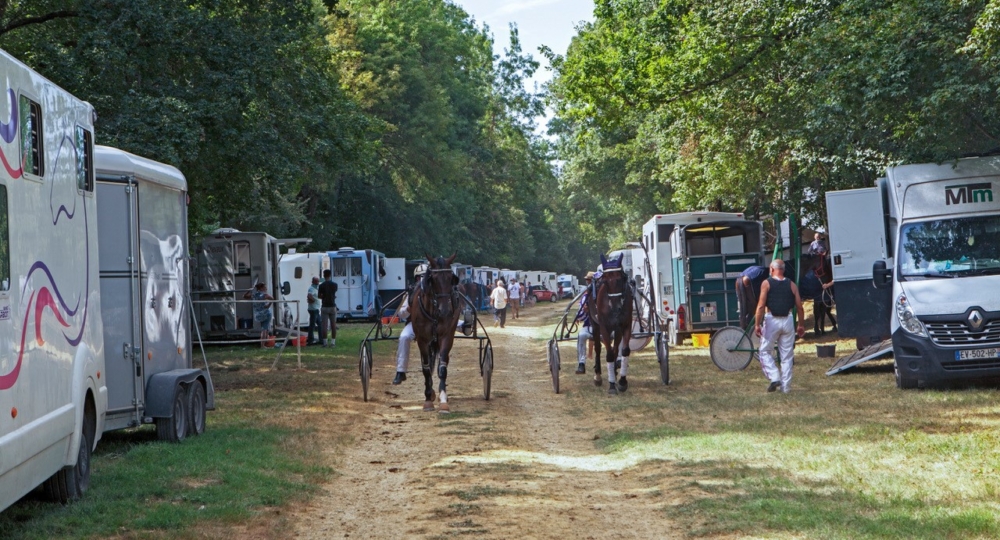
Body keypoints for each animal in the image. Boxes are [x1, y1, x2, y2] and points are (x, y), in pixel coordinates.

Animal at [408, 253, 462, 414]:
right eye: (434, 279)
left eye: (451, 278)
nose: (445, 311)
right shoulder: (423, 340)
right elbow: (426, 368)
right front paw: (427, 398)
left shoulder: (446, 337)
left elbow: (442, 368)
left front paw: (443, 400)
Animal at [584, 253, 632, 396]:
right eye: (605, 281)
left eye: (621, 279)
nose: (616, 307)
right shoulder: (604, 327)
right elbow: (609, 354)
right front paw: (611, 385)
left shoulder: (625, 325)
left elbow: (624, 350)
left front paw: (622, 381)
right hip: (595, 325)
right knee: (599, 348)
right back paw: (598, 375)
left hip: (617, 329)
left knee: (615, 347)